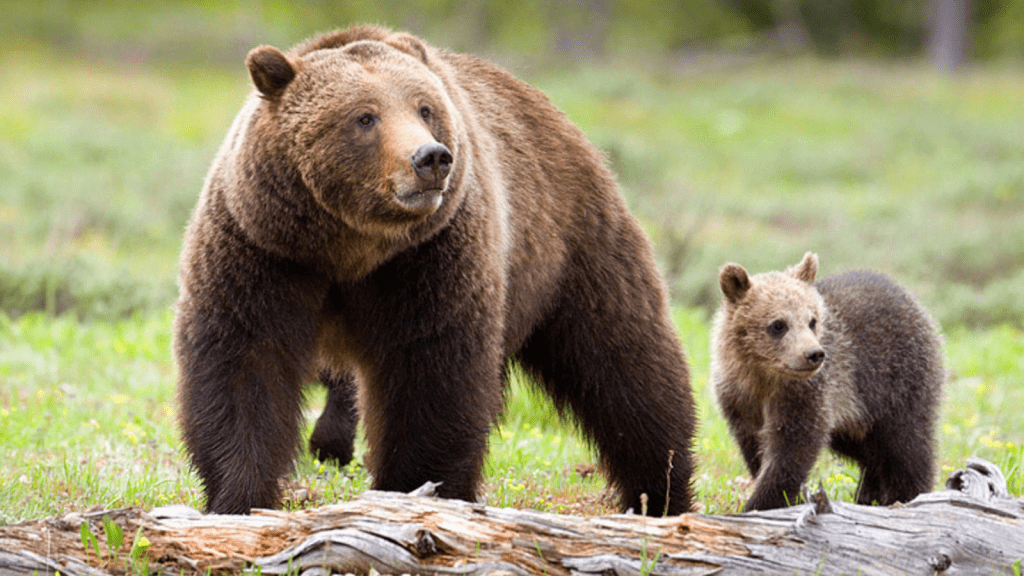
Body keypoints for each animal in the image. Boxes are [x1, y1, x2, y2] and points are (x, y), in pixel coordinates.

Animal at [173, 25, 696, 516]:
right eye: (364, 116)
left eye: (424, 109)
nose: (431, 158)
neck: (351, 247)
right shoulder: (264, 251)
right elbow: (244, 365)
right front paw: (237, 497)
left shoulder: (429, 259)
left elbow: (429, 376)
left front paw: (410, 489)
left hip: (568, 244)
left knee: (625, 363)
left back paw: (661, 492)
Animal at [710, 252, 944, 511]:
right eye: (778, 324)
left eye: (812, 321)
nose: (814, 354)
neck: (763, 377)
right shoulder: (739, 399)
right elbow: (756, 447)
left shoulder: (805, 393)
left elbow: (791, 450)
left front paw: (761, 502)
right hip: (856, 411)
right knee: (869, 448)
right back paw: (869, 493)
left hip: (894, 380)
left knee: (906, 443)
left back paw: (905, 495)